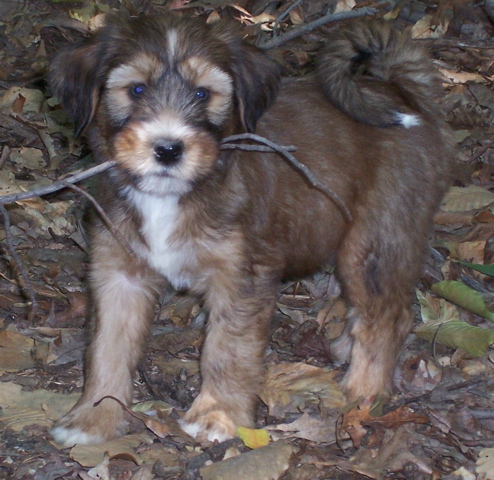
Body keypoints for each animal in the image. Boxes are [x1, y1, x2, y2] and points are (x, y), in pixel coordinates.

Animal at [49, 12, 452, 446]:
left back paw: (363, 392)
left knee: (388, 315)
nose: (168, 149)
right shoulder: (118, 274)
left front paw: (218, 416)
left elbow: (227, 350)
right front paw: (95, 416)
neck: (173, 196)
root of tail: (401, 92)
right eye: (136, 89)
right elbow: (107, 348)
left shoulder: (241, 277)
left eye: (203, 94)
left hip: (375, 240)